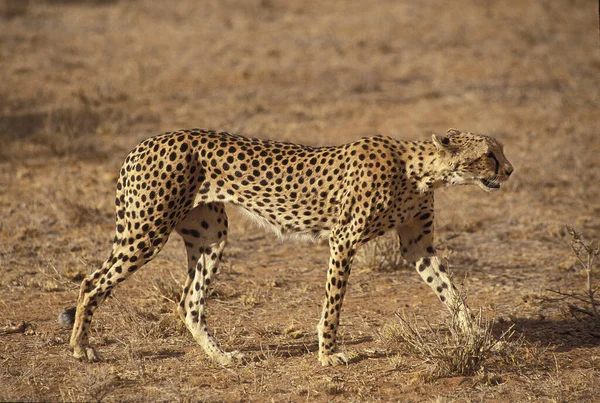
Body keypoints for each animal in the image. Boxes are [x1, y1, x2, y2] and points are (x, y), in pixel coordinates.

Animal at [58, 128, 512, 368]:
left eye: (500, 151)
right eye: (489, 154)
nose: (509, 170)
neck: (418, 170)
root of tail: (146, 142)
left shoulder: (419, 246)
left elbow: (454, 295)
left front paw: (481, 339)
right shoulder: (343, 239)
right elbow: (333, 305)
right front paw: (328, 355)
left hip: (210, 234)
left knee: (188, 301)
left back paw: (222, 358)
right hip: (146, 230)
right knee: (92, 281)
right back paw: (79, 347)